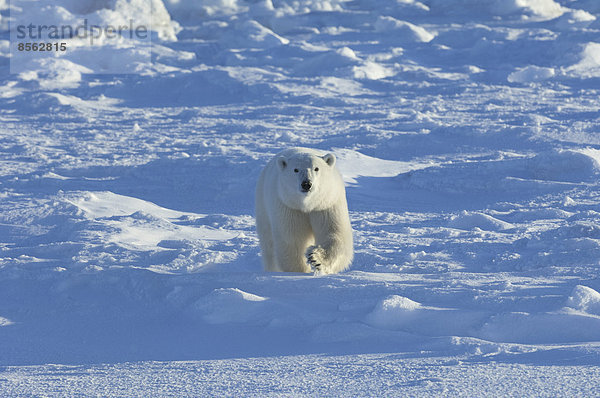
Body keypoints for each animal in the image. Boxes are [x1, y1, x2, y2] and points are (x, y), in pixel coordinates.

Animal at [255, 146, 354, 274]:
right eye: (295, 170)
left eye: (316, 168)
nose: (306, 184)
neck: (308, 204)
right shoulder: (290, 207)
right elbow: (293, 240)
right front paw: (300, 271)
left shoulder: (326, 204)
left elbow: (334, 233)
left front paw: (315, 259)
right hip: (263, 207)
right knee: (268, 245)